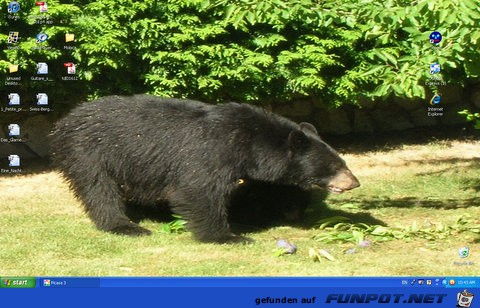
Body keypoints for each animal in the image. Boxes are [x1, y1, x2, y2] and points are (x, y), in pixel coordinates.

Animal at [52, 95, 360, 242]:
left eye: (343, 161)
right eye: (335, 164)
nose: (354, 182)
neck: (249, 144)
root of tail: (64, 121)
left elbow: (267, 190)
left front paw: (283, 209)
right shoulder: (211, 152)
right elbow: (199, 191)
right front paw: (228, 236)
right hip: (91, 153)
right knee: (99, 190)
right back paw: (124, 225)